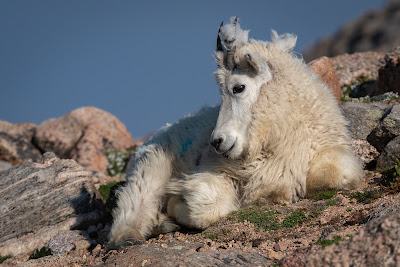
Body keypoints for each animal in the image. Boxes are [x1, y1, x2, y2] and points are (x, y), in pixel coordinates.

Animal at [108, 17, 362, 249]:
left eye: (238, 87)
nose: (218, 141)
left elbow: (334, 175)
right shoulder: (215, 172)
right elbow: (208, 207)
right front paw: (174, 204)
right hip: (151, 167)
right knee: (135, 203)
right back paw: (133, 236)